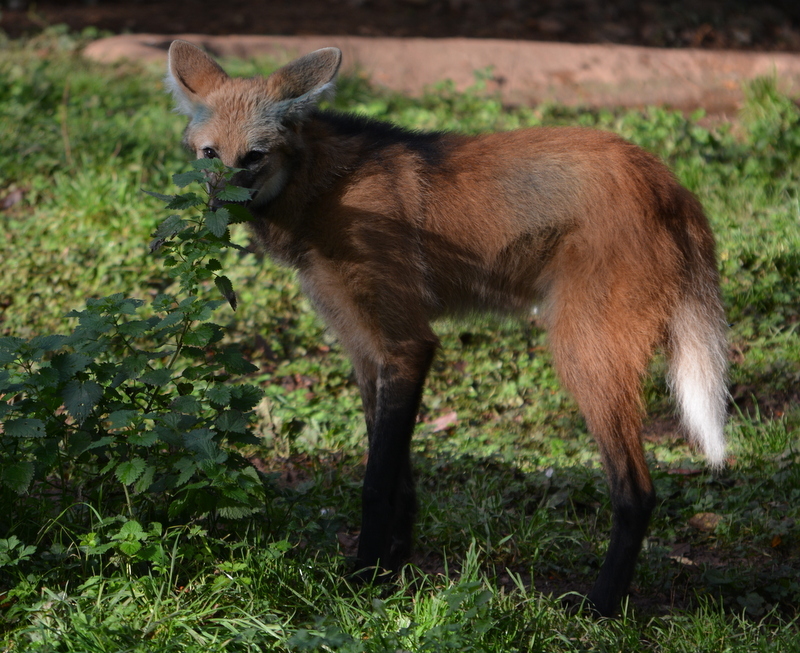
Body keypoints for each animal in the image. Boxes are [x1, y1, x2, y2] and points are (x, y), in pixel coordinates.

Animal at [166, 40, 728, 616]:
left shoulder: (407, 343)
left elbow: (375, 481)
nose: (217, 206)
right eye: (210, 154)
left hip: (584, 355)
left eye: (254, 156)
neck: (324, 189)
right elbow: (398, 476)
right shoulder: (367, 350)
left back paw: (598, 605)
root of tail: (669, 183)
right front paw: (391, 570)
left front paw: (362, 578)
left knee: (636, 492)